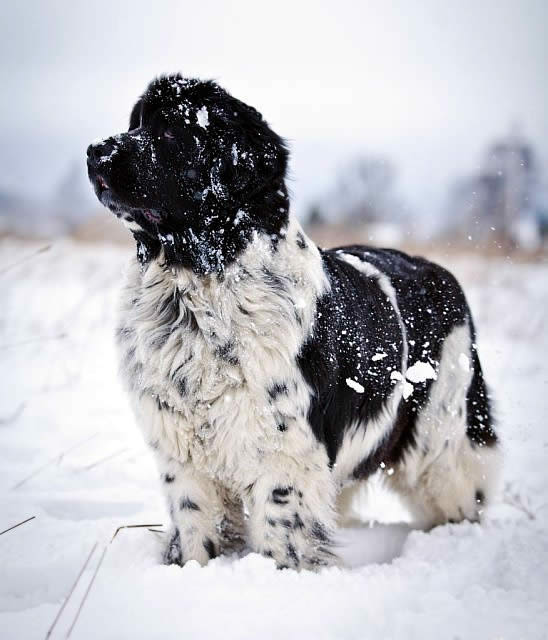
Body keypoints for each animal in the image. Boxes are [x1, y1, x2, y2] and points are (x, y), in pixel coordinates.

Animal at [86, 74, 500, 568]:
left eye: (168, 131)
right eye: (135, 123)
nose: (94, 151)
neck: (198, 288)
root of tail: (439, 273)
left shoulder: (284, 450)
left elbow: (282, 528)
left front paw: (276, 576)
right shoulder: (182, 453)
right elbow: (195, 524)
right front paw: (193, 568)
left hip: (441, 436)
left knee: (456, 489)